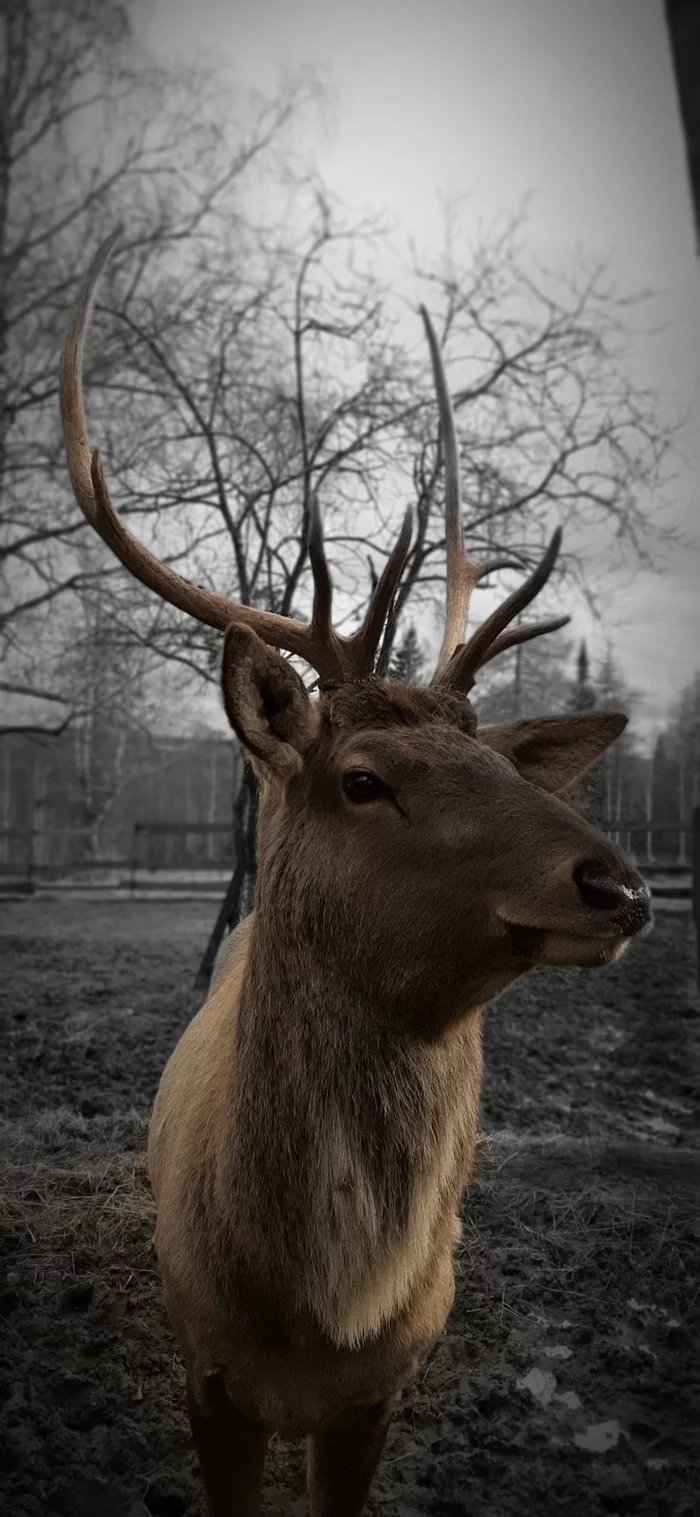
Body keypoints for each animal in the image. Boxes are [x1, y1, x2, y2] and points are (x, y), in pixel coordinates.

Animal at [58, 239, 649, 1517]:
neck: (314, 1314)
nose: (620, 885)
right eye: (364, 778)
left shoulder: (384, 1387)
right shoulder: (206, 1374)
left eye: (500, 758)